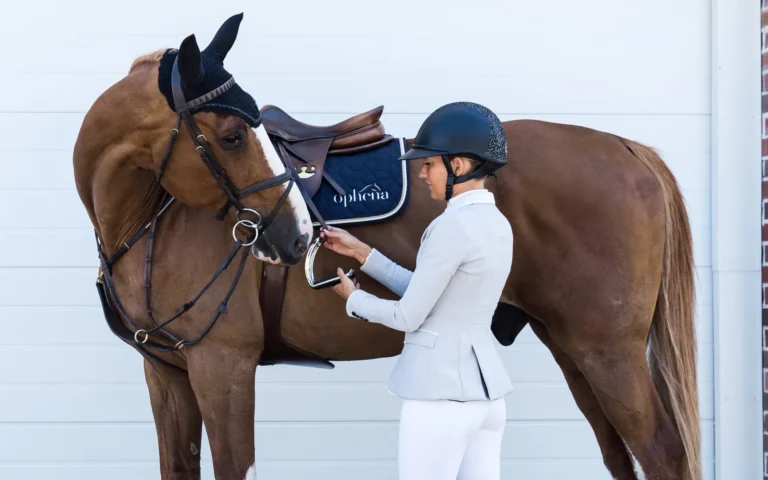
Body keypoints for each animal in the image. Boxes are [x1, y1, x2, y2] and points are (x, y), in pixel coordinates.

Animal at [75, 13, 700, 480]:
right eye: (230, 136)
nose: (296, 236)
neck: (151, 220)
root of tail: (627, 147)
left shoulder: (222, 365)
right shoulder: (168, 375)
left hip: (608, 351)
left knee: (660, 452)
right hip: (573, 347)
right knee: (618, 453)